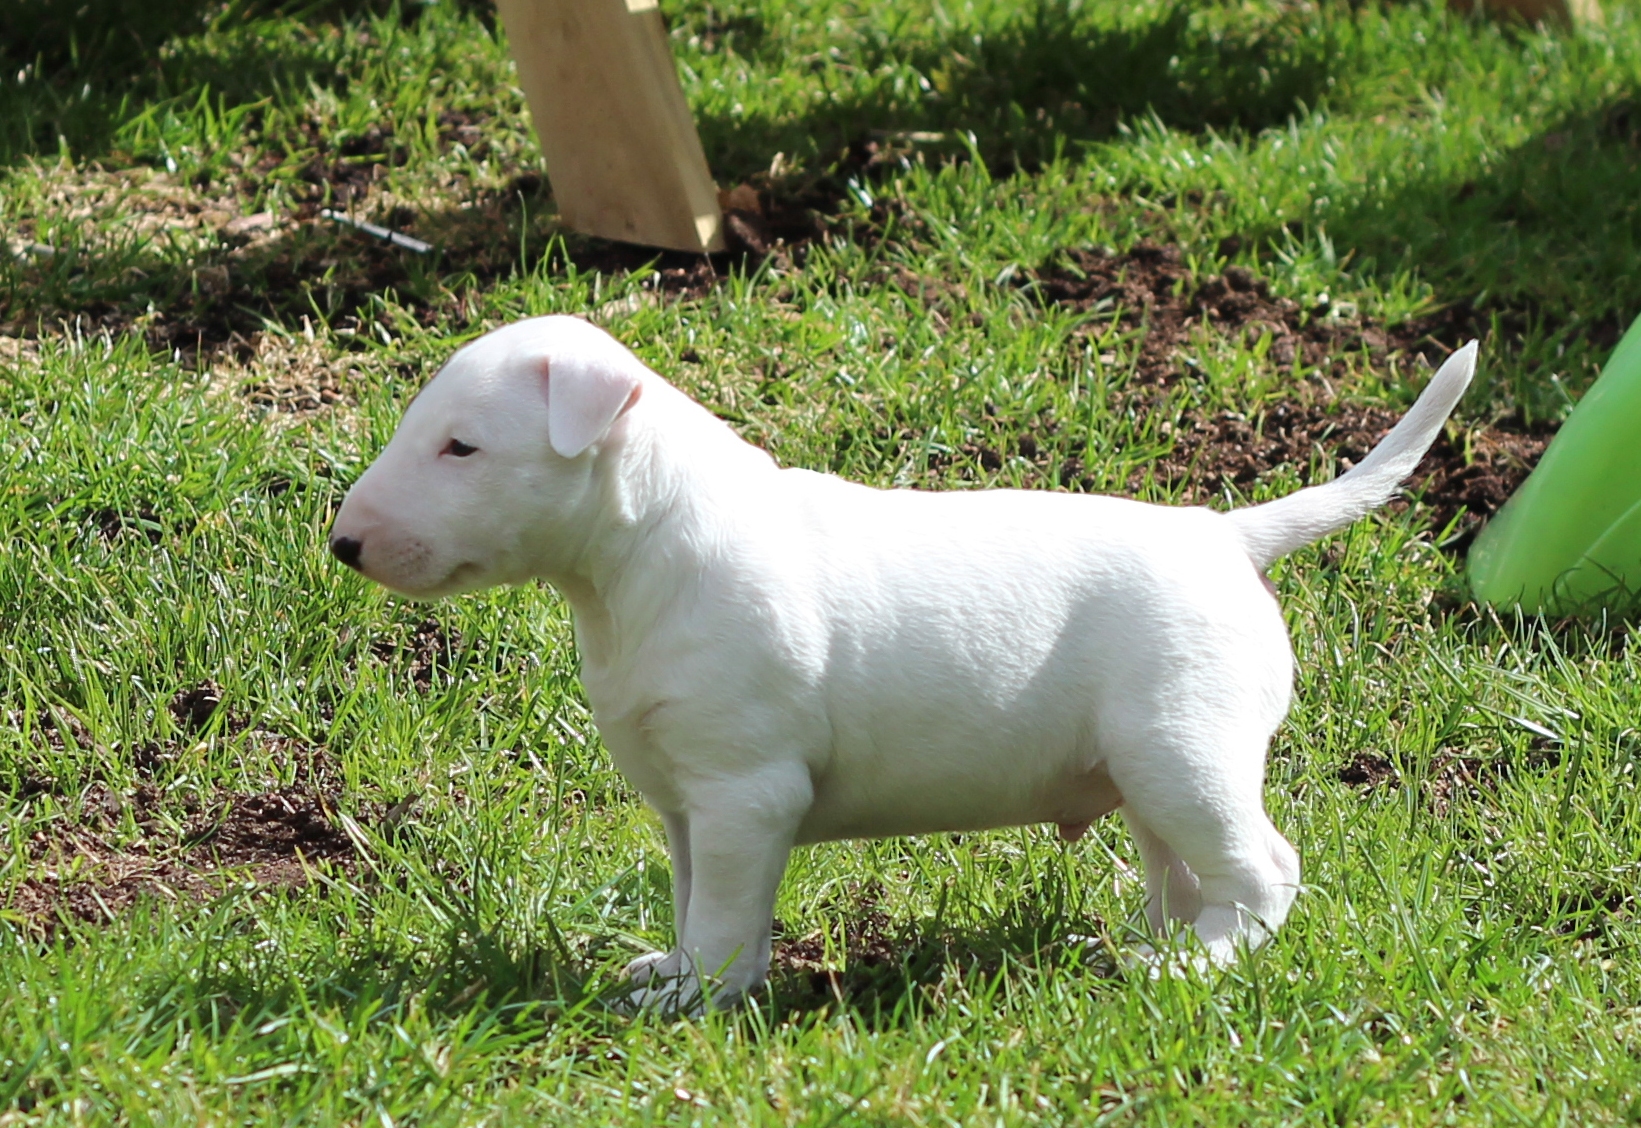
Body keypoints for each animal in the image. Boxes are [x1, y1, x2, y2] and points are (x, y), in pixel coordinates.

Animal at [330, 315, 1477, 1011]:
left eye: (463, 448)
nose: (342, 545)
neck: (641, 553)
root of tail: (1228, 536)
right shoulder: (689, 801)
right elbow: (702, 903)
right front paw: (686, 974)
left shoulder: (746, 788)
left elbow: (726, 912)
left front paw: (692, 1003)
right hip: (1152, 766)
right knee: (1191, 874)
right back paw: (1152, 948)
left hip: (1185, 748)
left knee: (1264, 870)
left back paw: (1193, 968)